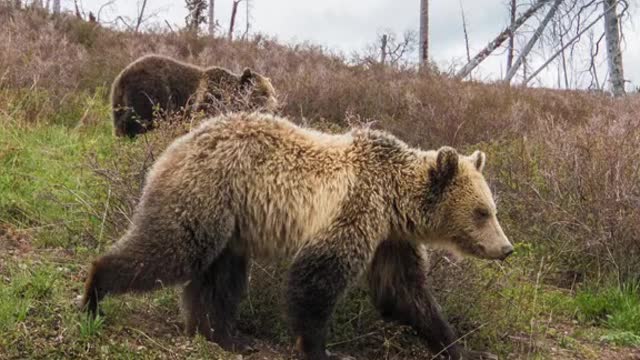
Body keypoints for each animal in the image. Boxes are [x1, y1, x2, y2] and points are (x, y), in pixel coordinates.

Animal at [82, 112, 516, 358]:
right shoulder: (355, 210)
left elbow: (404, 293)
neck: (395, 198)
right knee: (172, 249)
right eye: (482, 212)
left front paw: (457, 345)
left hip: (232, 221)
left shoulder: (390, 239)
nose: (507, 248)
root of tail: (176, 143)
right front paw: (319, 349)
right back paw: (95, 294)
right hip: (206, 192)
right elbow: (316, 278)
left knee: (220, 278)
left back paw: (224, 336)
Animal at [111, 54, 276, 138]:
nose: (274, 109)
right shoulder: (208, 100)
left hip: (118, 102)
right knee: (135, 122)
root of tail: (122, 77)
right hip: (149, 93)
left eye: (274, 93)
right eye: (263, 93)